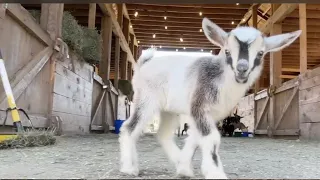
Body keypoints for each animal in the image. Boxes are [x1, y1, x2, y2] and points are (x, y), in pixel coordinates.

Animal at [119, 17, 302, 179]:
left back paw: (177, 161)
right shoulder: (199, 106)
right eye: (227, 51)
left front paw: (184, 169)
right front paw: (215, 173)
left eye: (260, 53)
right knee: (129, 127)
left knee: (163, 133)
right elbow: (211, 138)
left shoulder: (209, 115)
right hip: (146, 98)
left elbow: (195, 139)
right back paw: (129, 168)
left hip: (168, 109)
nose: (242, 69)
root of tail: (145, 62)